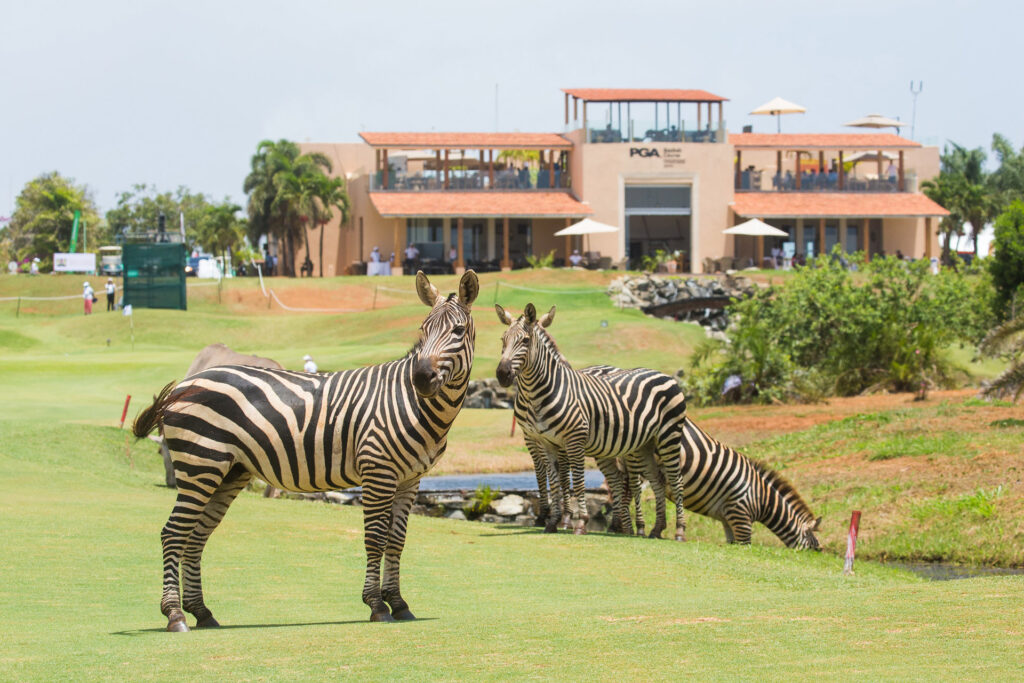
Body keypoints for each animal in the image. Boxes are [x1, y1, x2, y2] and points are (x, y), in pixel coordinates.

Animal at [132, 270, 479, 630]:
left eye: (458, 331)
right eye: (423, 329)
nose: (421, 378)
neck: (413, 405)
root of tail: (185, 385)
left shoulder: (410, 480)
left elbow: (396, 541)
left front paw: (398, 603)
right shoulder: (378, 472)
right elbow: (374, 538)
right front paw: (376, 605)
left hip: (228, 472)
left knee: (195, 536)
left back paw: (201, 612)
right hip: (201, 465)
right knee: (173, 534)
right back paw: (175, 614)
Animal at [675, 417, 819, 548]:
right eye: (815, 548)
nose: (821, 551)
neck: (764, 500)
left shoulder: (727, 520)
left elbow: (731, 543)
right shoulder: (741, 516)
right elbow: (745, 545)